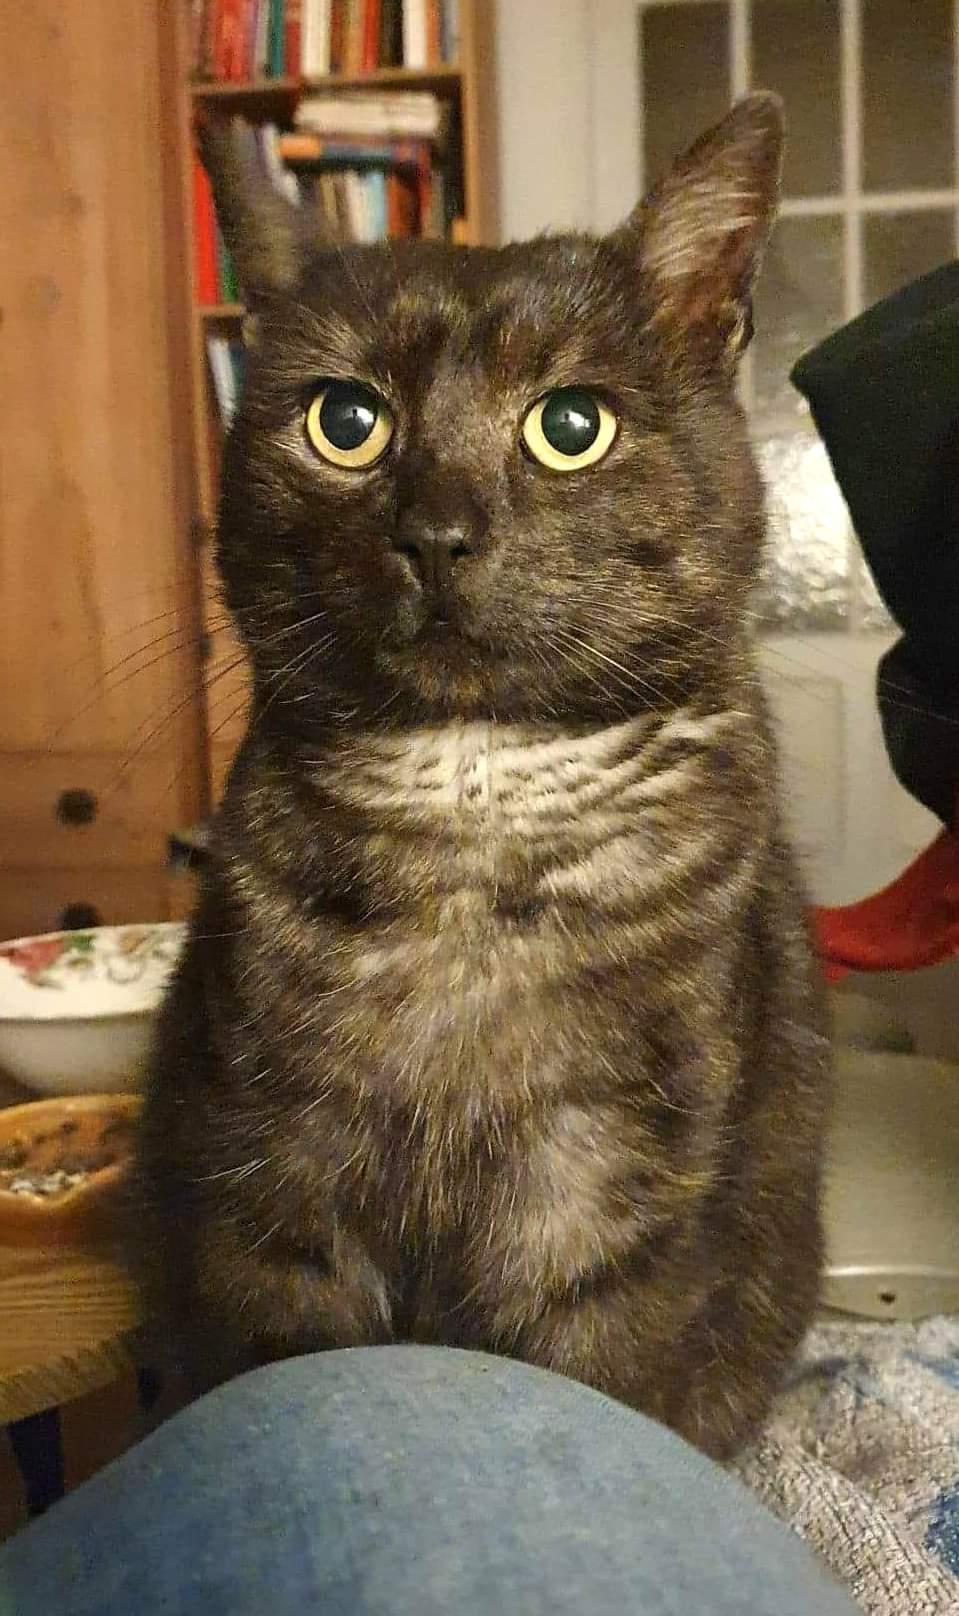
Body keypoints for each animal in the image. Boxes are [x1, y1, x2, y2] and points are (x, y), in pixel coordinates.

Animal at [135, 93, 831, 1460]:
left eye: (569, 427)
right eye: (345, 421)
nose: (437, 533)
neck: (471, 802)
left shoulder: (610, 1186)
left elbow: (596, 1380)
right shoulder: (270, 1157)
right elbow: (295, 1359)